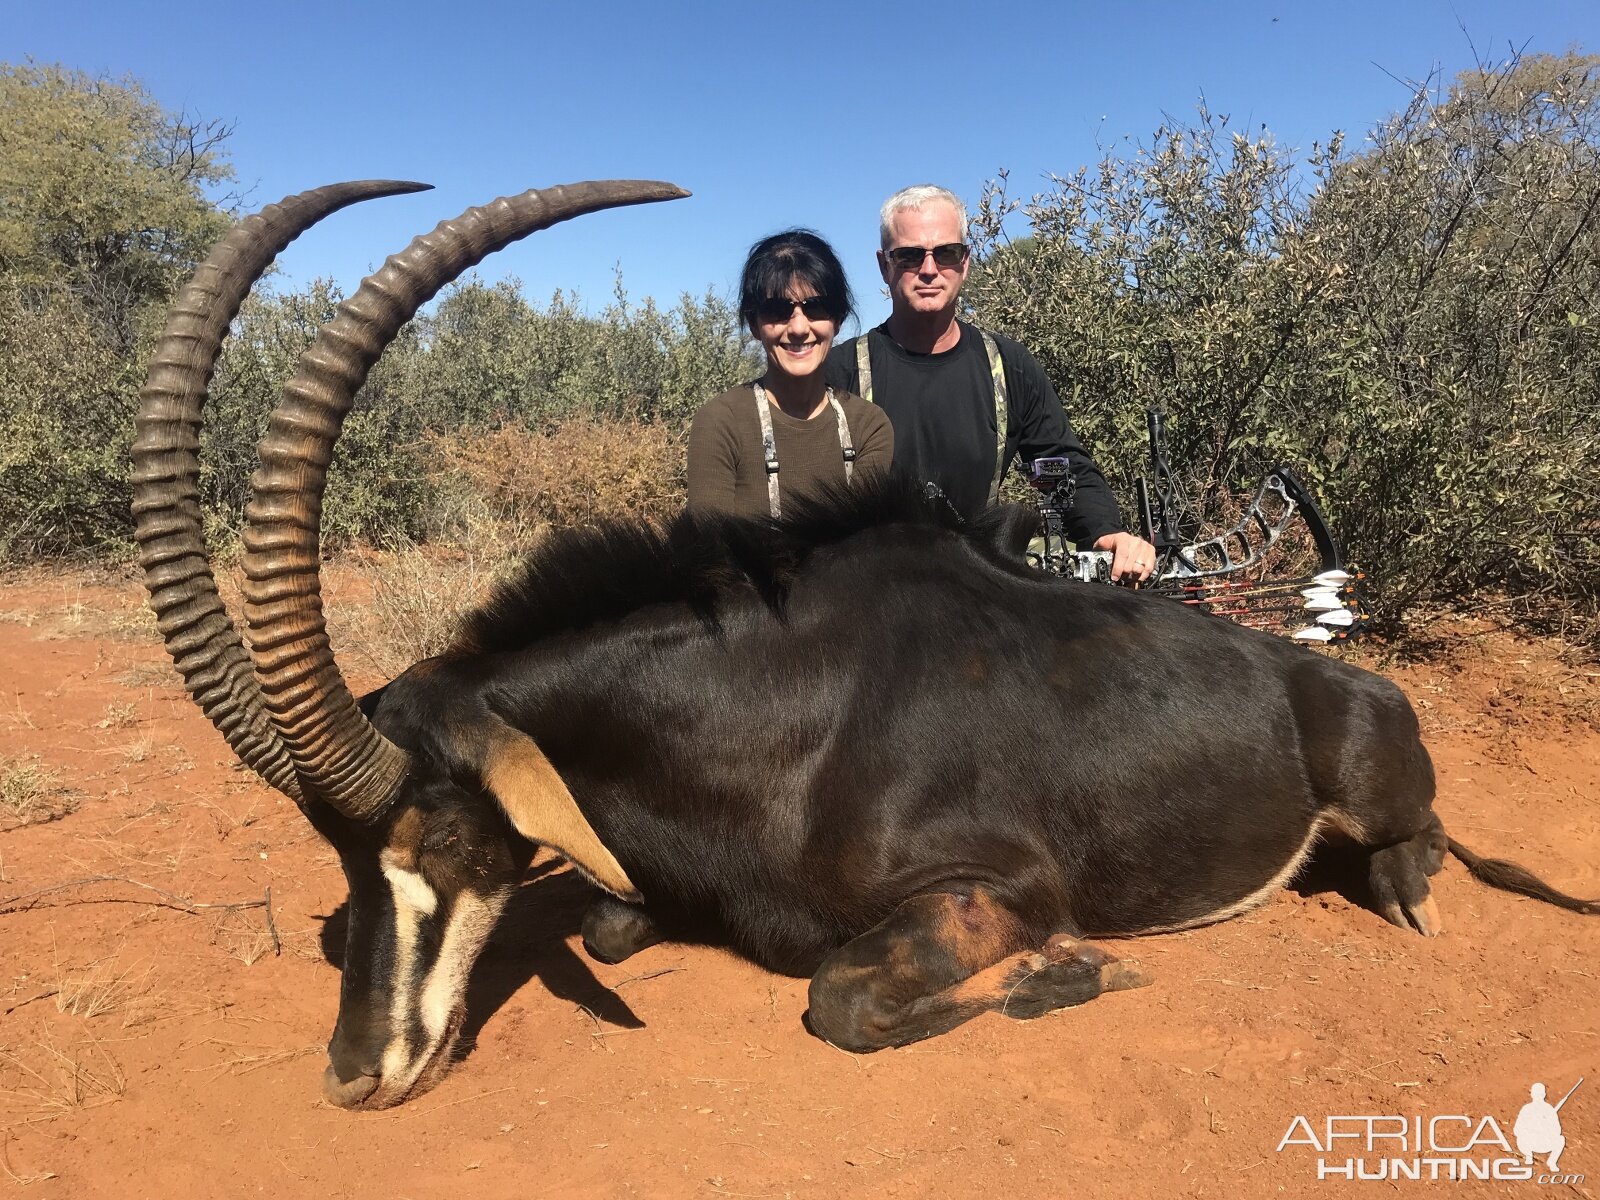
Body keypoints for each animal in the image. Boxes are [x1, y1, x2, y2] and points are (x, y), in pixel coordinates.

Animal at [131, 176, 1593, 1107]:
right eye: (339, 869)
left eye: (436, 839)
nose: (355, 1078)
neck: (776, 711)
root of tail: (1330, 673)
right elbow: (608, 925)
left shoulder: (990, 888)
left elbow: (836, 999)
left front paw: (1076, 973)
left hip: (1375, 785)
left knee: (1414, 857)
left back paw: (1408, 891)